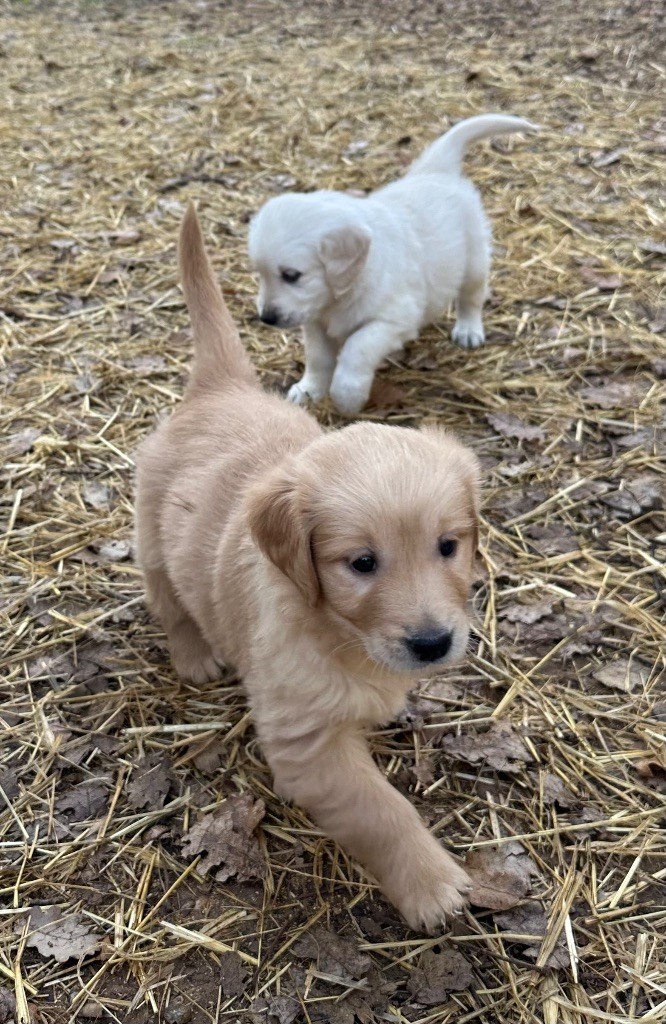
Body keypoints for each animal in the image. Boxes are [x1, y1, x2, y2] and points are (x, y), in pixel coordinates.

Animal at [135, 203, 479, 933]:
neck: (341, 635)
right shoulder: (306, 743)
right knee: (168, 600)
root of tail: (221, 386)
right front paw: (432, 886)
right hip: (151, 537)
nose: (433, 643)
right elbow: (381, 811)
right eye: (362, 563)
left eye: (448, 546)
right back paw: (195, 656)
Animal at [245, 113, 536, 415]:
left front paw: (347, 394)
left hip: (474, 260)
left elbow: (357, 346)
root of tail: (433, 171)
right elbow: (318, 358)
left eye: (291, 275)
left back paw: (468, 330)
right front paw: (309, 389)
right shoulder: (314, 321)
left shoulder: (394, 318)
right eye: (260, 275)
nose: (266, 318)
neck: (343, 292)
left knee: (471, 297)